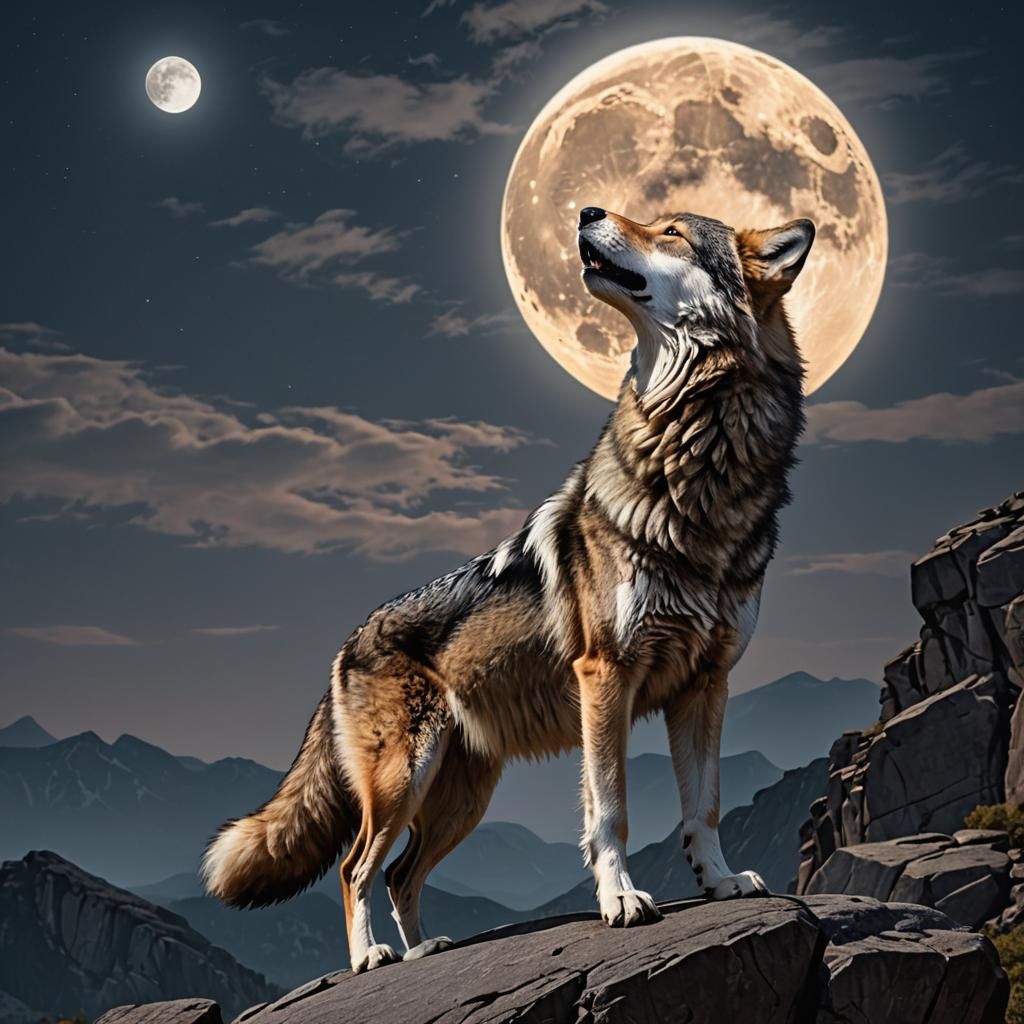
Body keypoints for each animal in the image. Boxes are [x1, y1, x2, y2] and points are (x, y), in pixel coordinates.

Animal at [203, 206, 813, 974]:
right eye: (654, 219)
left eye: (672, 230)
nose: (586, 209)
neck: (700, 474)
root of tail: (348, 643)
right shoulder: (606, 678)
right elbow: (610, 811)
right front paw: (621, 900)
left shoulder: (706, 685)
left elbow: (702, 807)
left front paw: (722, 882)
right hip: (404, 781)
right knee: (354, 867)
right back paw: (372, 958)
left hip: (463, 796)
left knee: (400, 873)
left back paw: (424, 950)